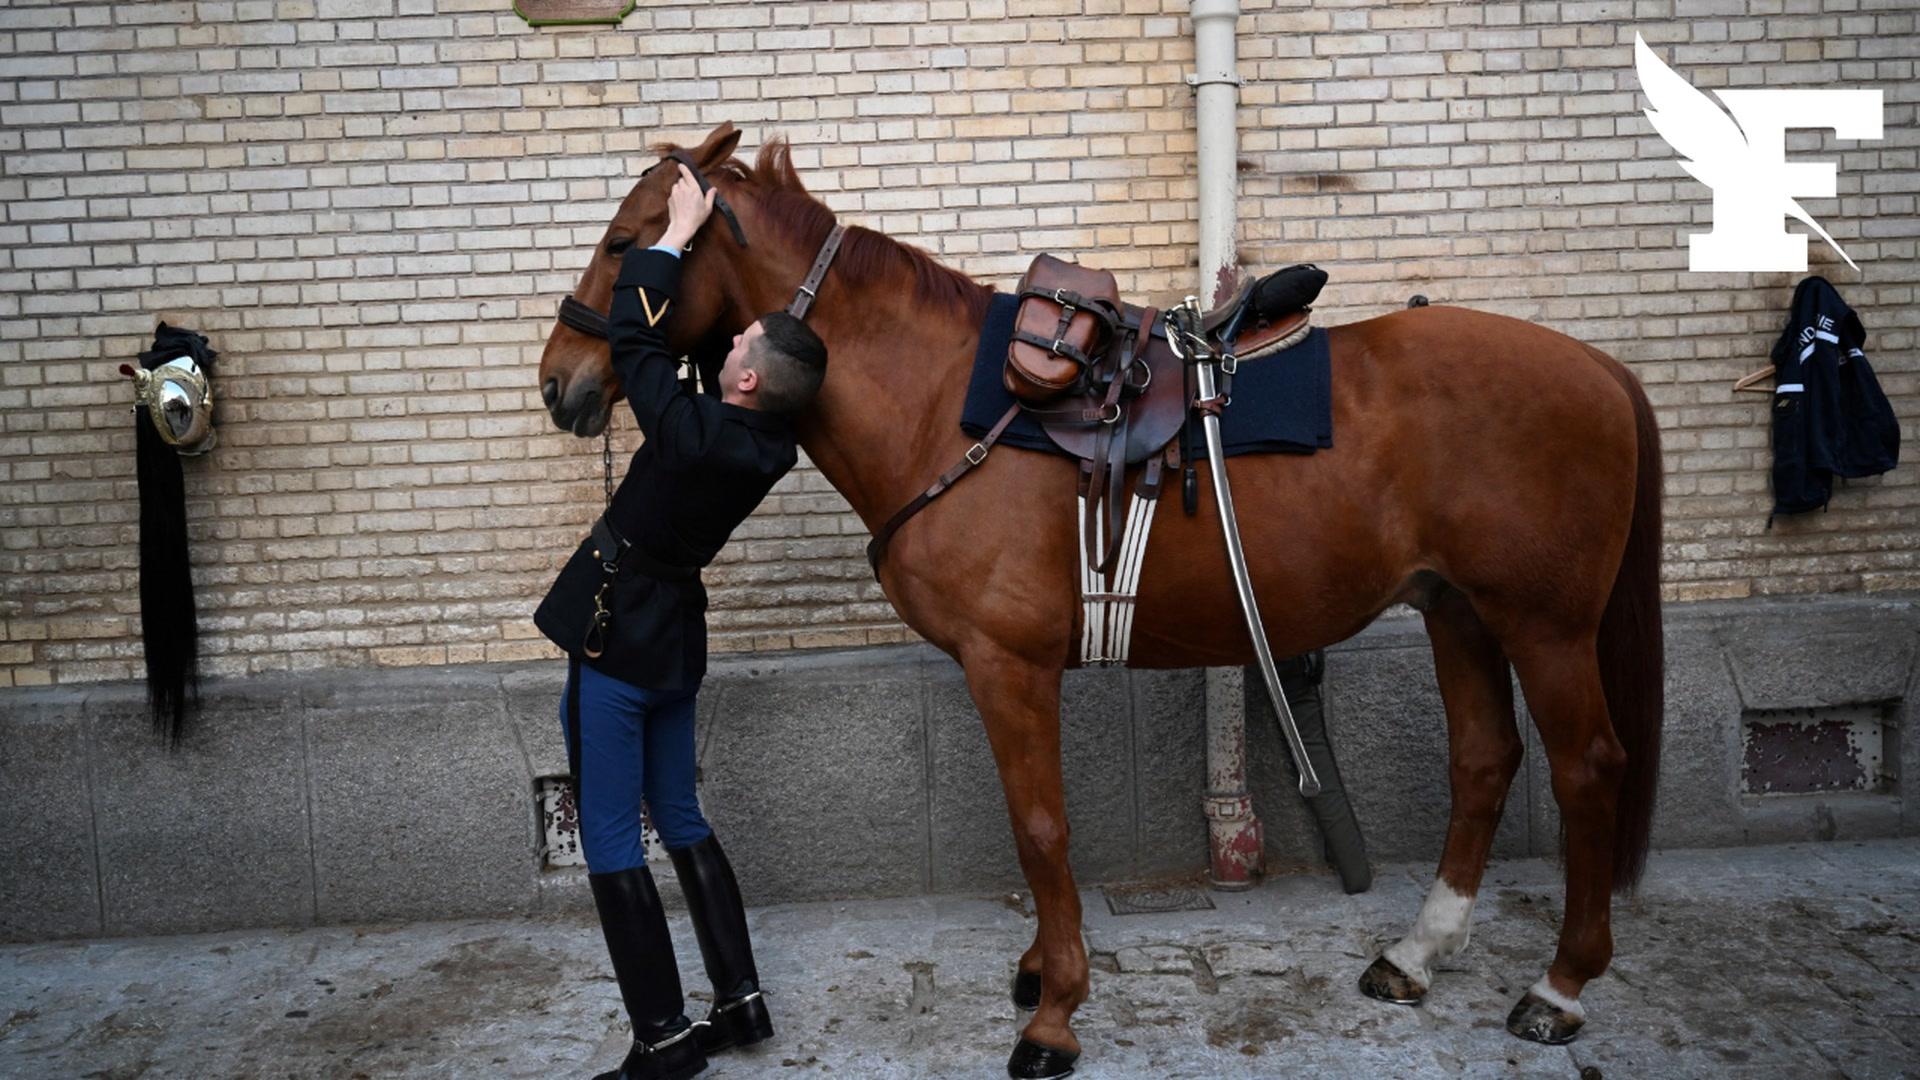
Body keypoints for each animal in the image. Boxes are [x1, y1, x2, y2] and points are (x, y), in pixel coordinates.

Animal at [541, 123, 1666, 1068]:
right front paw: (1044, 970)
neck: (947, 405)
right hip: (1457, 610)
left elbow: (1042, 828)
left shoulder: (1009, 667)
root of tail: (1601, 368)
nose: (561, 382)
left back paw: (1560, 988)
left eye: (630, 242)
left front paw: (1054, 1014)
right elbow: (1031, 824)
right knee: (1485, 762)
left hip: (1543, 626)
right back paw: (1418, 954)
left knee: (1587, 769)